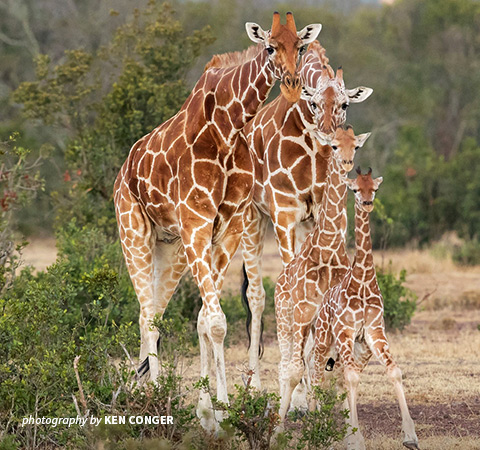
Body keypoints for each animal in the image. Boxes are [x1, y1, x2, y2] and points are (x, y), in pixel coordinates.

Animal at [113, 13, 322, 428]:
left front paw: (210, 410)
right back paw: (155, 400)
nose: (292, 85)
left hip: (171, 248)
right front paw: (220, 412)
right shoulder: (197, 224)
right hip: (134, 233)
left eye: (301, 47)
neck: (227, 128)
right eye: (269, 47)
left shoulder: (223, 228)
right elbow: (215, 322)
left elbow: (205, 320)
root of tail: (121, 173)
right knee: (147, 316)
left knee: (155, 312)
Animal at [242, 40, 374, 388]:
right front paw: (301, 383)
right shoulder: (284, 212)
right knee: (256, 295)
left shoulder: (327, 218)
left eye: (345, 104)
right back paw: (252, 382)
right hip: (250, 219)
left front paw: (321, 369)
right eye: (312, 103)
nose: (328, 137)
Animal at [314, 168, 418, 450]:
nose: (368, 203)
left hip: (359, 351)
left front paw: (410, 436)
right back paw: (316, 429)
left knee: (339, 380)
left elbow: (394, 371)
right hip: (323, 341)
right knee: (316, 377)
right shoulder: (345, 333)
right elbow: (350, 378)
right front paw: (356, 438)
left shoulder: (374, 333)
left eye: (375, 188)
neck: (362, 281)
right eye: (354, 189)